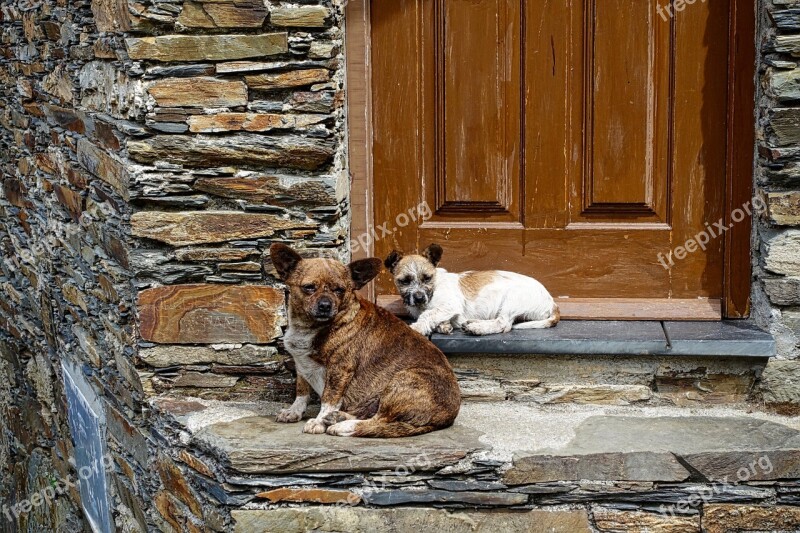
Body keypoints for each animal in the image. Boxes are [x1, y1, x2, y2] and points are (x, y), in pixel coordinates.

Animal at [268, 243, 460, 438]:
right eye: (309, 287)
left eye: (339, 290)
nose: (325, 306)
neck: (309, 327)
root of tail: (447, 417)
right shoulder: (301, 365)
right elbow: (301, 390)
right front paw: (294, 411)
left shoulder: (340, 369)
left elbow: (329, 398)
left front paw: (318, 421)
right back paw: (339, 417)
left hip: (401, 380)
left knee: (379, 421)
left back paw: (342, 425)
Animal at [384, 243, 560, 334]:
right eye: (404, 281)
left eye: (427, 278)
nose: (419, 297)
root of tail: (552, 303)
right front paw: (443, 325)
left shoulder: (449, 305)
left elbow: (429, 314)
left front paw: (418, 327)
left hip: (512, 300)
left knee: (503, 324)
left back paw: (477, 328)